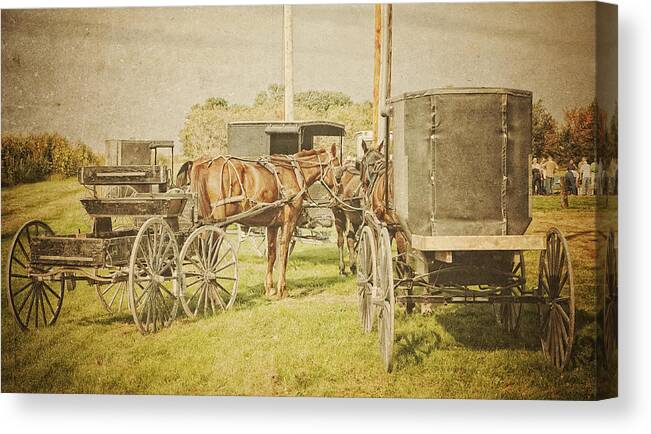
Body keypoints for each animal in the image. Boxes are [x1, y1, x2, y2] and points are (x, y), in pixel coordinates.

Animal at [178, 146, 342, 298]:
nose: (338, 191)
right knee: (210, 255)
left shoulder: (272, 225)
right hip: (217, 224)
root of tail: (201, 163)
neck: (294, 172)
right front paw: (282, 289)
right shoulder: (288, 223)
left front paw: (269, 288)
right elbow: (283, 255)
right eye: (338, 169)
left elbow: (272, 255)